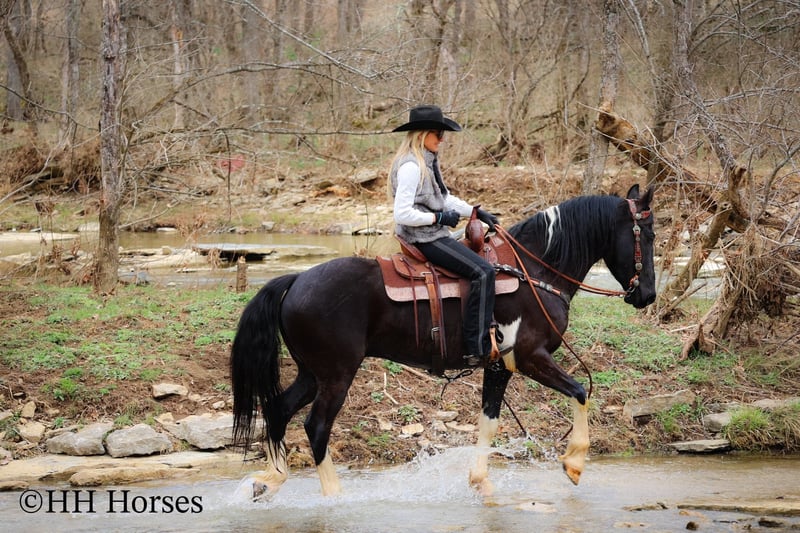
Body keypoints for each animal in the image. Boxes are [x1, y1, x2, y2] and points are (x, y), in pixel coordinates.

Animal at [230, 184, 656, 499]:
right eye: (647, 235)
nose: (648, 295)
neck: (534, 270)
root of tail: (296, 280)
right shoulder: (530, 357)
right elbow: (581, 391)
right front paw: (574, 463)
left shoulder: (499, 365)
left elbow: (489, 423)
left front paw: (481, 483)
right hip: (337, 375)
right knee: (316, 426)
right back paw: (334, 497)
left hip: (311, 373)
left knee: (278, 410)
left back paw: (268, 480)